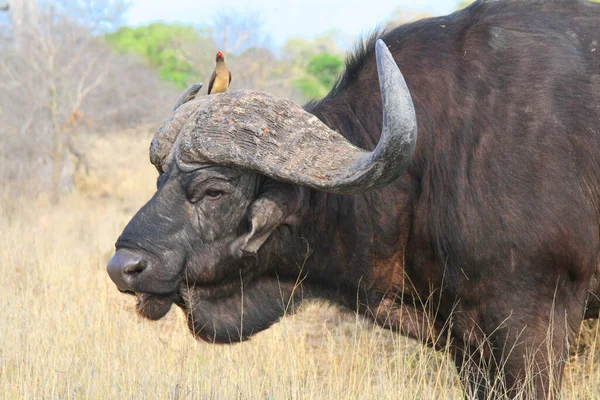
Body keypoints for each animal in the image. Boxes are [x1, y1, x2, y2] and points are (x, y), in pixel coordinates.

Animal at [108, 0, 600, 396]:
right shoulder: (467, 342)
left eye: (214, 190)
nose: (123, 267)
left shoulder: (530, 326)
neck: (425, 169)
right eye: (160, 179)